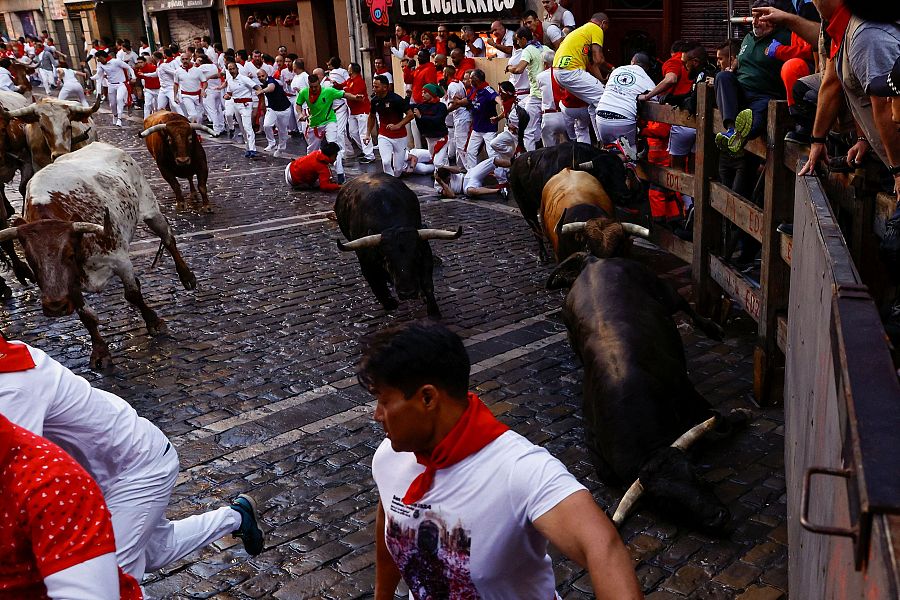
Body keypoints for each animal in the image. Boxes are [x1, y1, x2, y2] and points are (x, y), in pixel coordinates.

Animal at [0, 143, 195, 368]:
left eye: (68, 254)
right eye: (31, 259)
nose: (55, 306)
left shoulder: (120, 260)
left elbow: (133, 294)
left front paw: (154, 322)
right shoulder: (71, 284)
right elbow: (87, 316)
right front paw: (100, 352)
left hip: (150, 208)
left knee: (169, 239)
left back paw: (187, 277)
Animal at [334, 172, 460, 318]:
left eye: (416, 257)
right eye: (387, 260)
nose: (408, 293)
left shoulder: (425, 252)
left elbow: (427, 284)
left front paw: (433, 310)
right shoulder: (367, 264)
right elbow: (378, 287)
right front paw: (390, 303)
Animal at [510, 143, 644, 262]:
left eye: (623, 173)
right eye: (603, 175)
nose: (625, 196)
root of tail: (516, 162)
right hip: (525, 207)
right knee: (536, 229)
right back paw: (543, 255)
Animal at [544, 244, 748, 536]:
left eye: (697, 473)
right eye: (665, 502)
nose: (719, 517)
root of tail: (593, 261)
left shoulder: (689, 393)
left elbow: (721, 421)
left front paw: (742, 414)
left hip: (663, 289)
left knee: (684, 305)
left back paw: (712, 329)